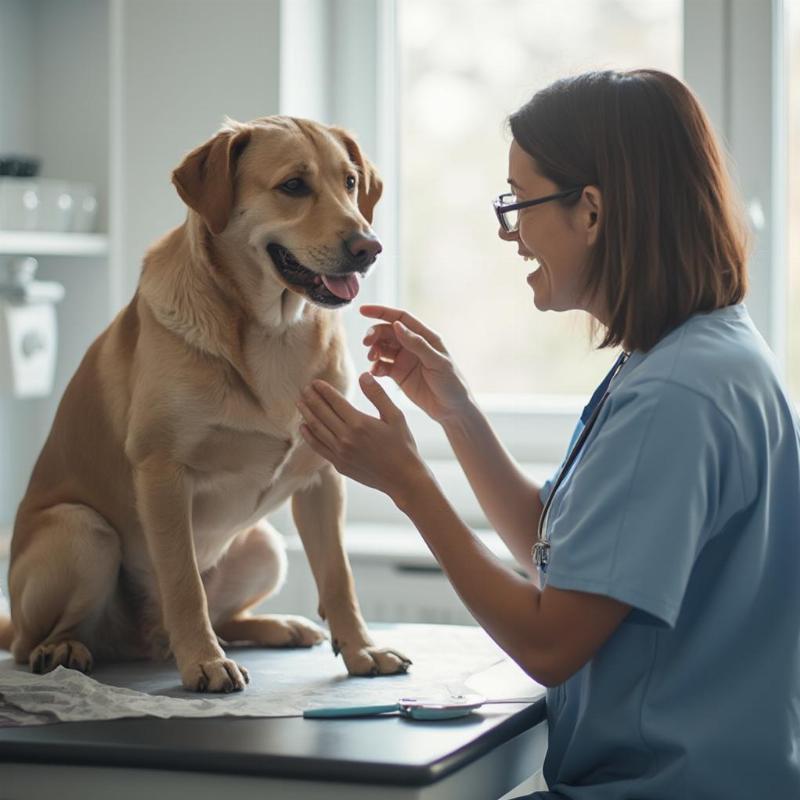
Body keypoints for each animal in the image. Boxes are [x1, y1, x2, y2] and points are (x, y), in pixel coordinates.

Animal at [0, 115, 412, 692]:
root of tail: (143, 643)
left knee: (229, 617)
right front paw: (203, 661)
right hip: (84, 533)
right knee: (34, 641)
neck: (273, 330)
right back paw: (64, 647)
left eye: (350, 182)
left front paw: (361, 650)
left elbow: (339, 577)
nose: (368, 247)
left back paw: (279, 627)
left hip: (265, 546)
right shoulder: (163, 473)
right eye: (293, 186)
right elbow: (183, 583)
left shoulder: (322, 477)